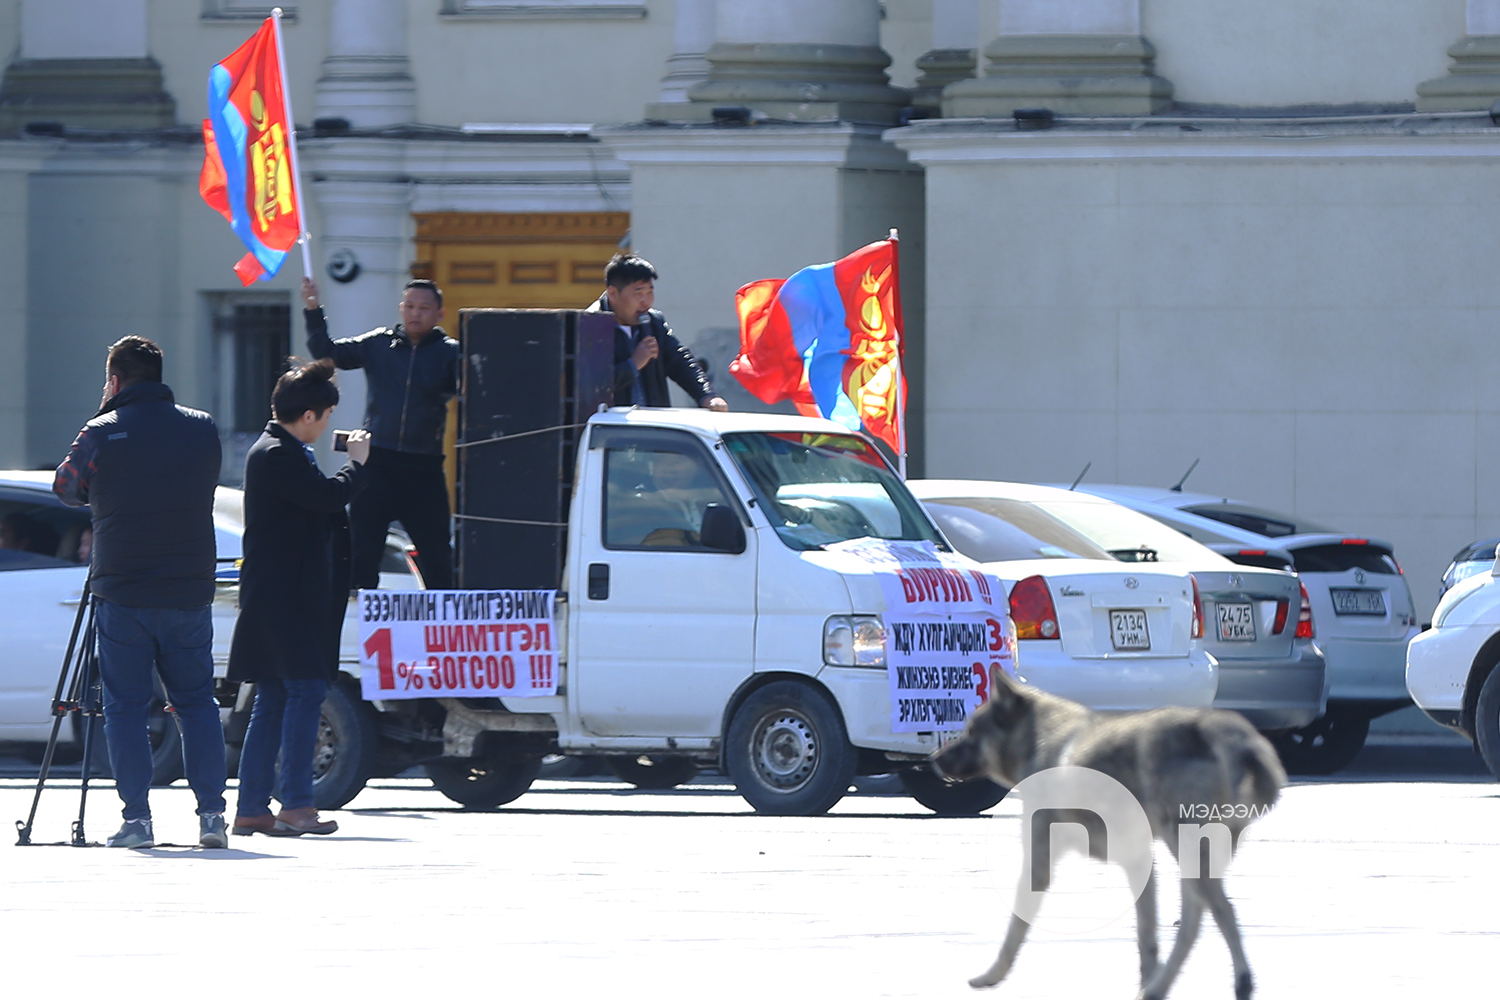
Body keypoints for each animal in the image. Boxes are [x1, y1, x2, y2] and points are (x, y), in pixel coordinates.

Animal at [930, 671, 1284, 1000]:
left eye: (971, 733)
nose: (933, 760)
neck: (1041, 740)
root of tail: (1220, 724)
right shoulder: (1140, 862)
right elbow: (1147, 938)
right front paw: (1147, 982)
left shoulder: (1038, 866)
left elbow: (1013, 932)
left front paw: (991, 975)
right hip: (1194, 862)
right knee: (1193, 924)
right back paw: (1159, 987)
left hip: (1188, 852)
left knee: (1224, 912)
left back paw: (1242, 981)